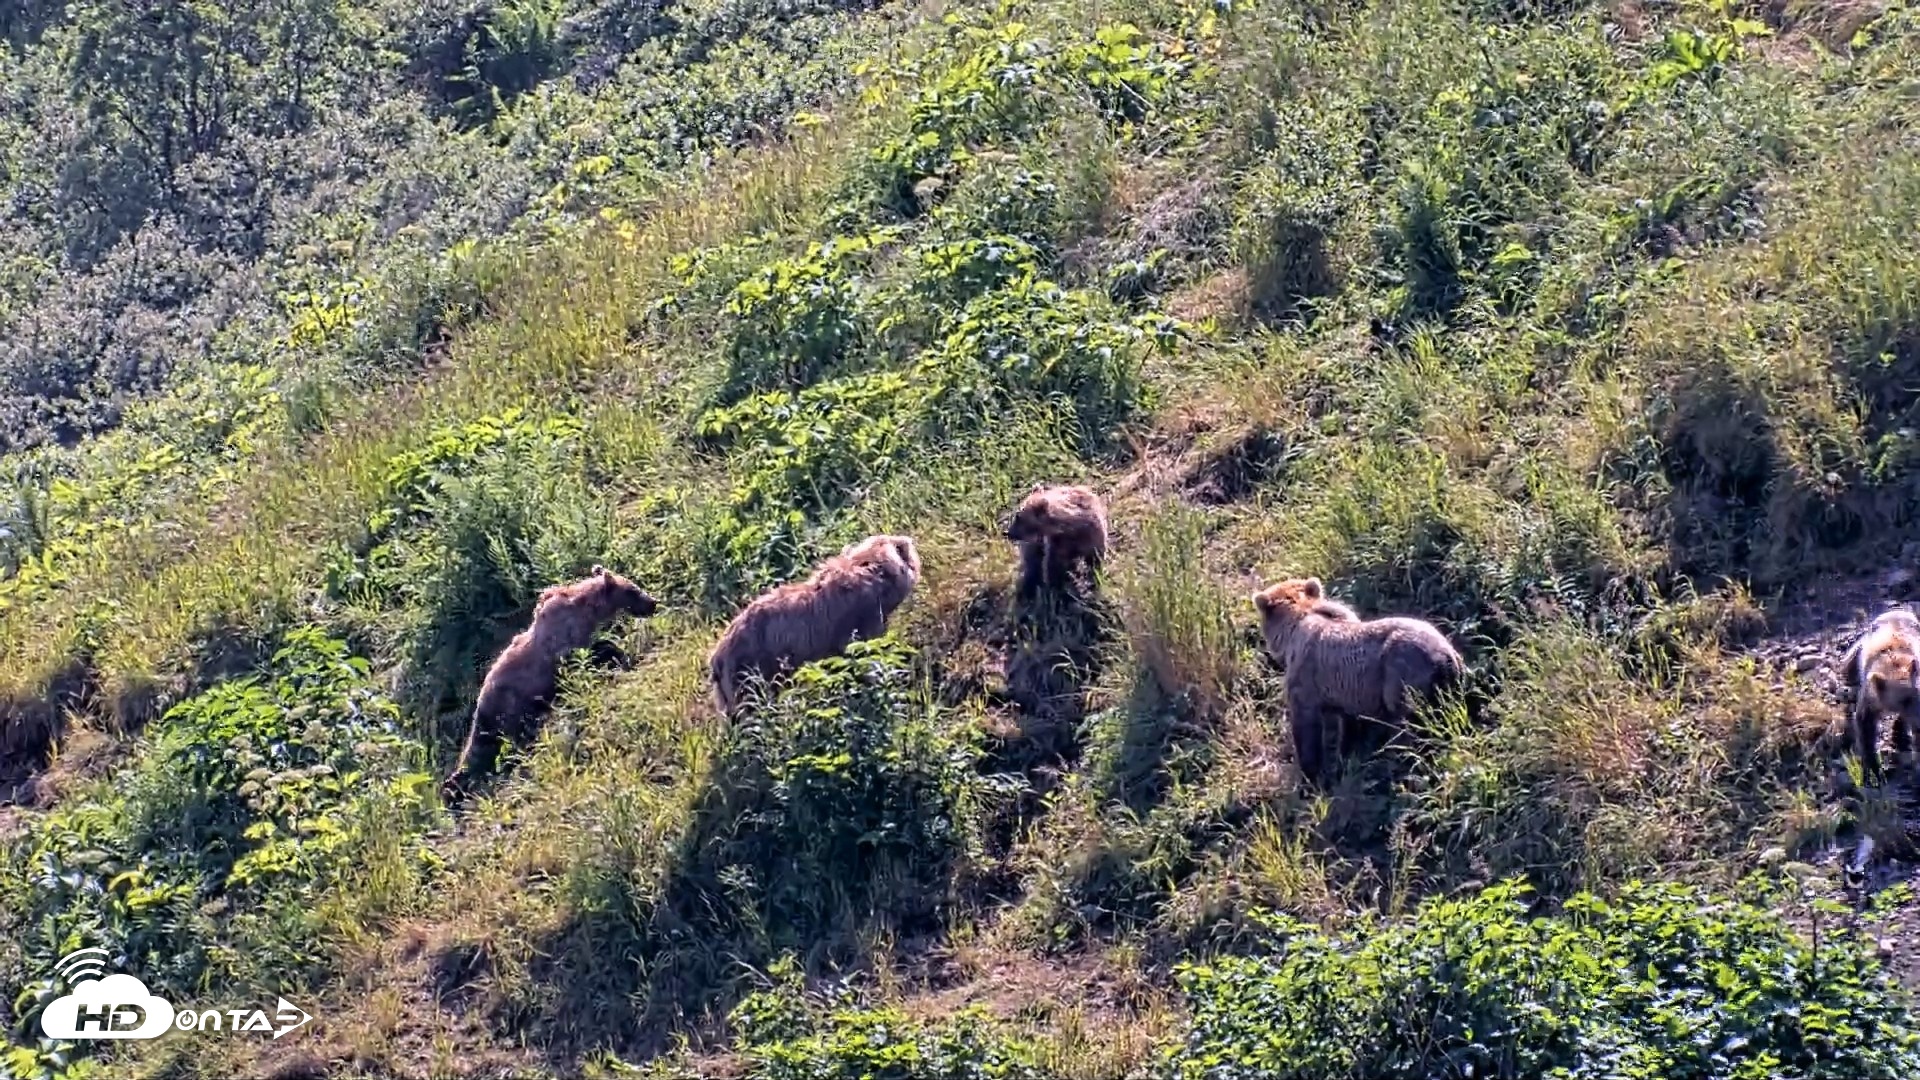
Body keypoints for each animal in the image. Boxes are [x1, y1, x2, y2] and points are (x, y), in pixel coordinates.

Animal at [442, 565, 658, 801]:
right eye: (632, 590)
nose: (653, 602)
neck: (588, 612)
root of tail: (479, 703)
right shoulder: (562, 648)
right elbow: (591, 653)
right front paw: (619, 657)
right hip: (509, 710)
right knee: (498, 746)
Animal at [1250, 577, 1465, 782]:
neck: (1295, 625)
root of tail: (1444, 654)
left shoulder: (1307, 678)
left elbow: (1306, 726)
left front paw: (1309, 774)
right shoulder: (1348, 690)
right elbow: (1350, 727)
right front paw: (1345, 760)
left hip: (1401, 675)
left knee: (1412, 724)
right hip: (1450, 683)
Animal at [1839, 606, 1920, 783]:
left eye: (1919, 695)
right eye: (1904, 700)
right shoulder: (1871, 698)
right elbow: (1865, 726)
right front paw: (1873, 771)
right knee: (1849, 665)